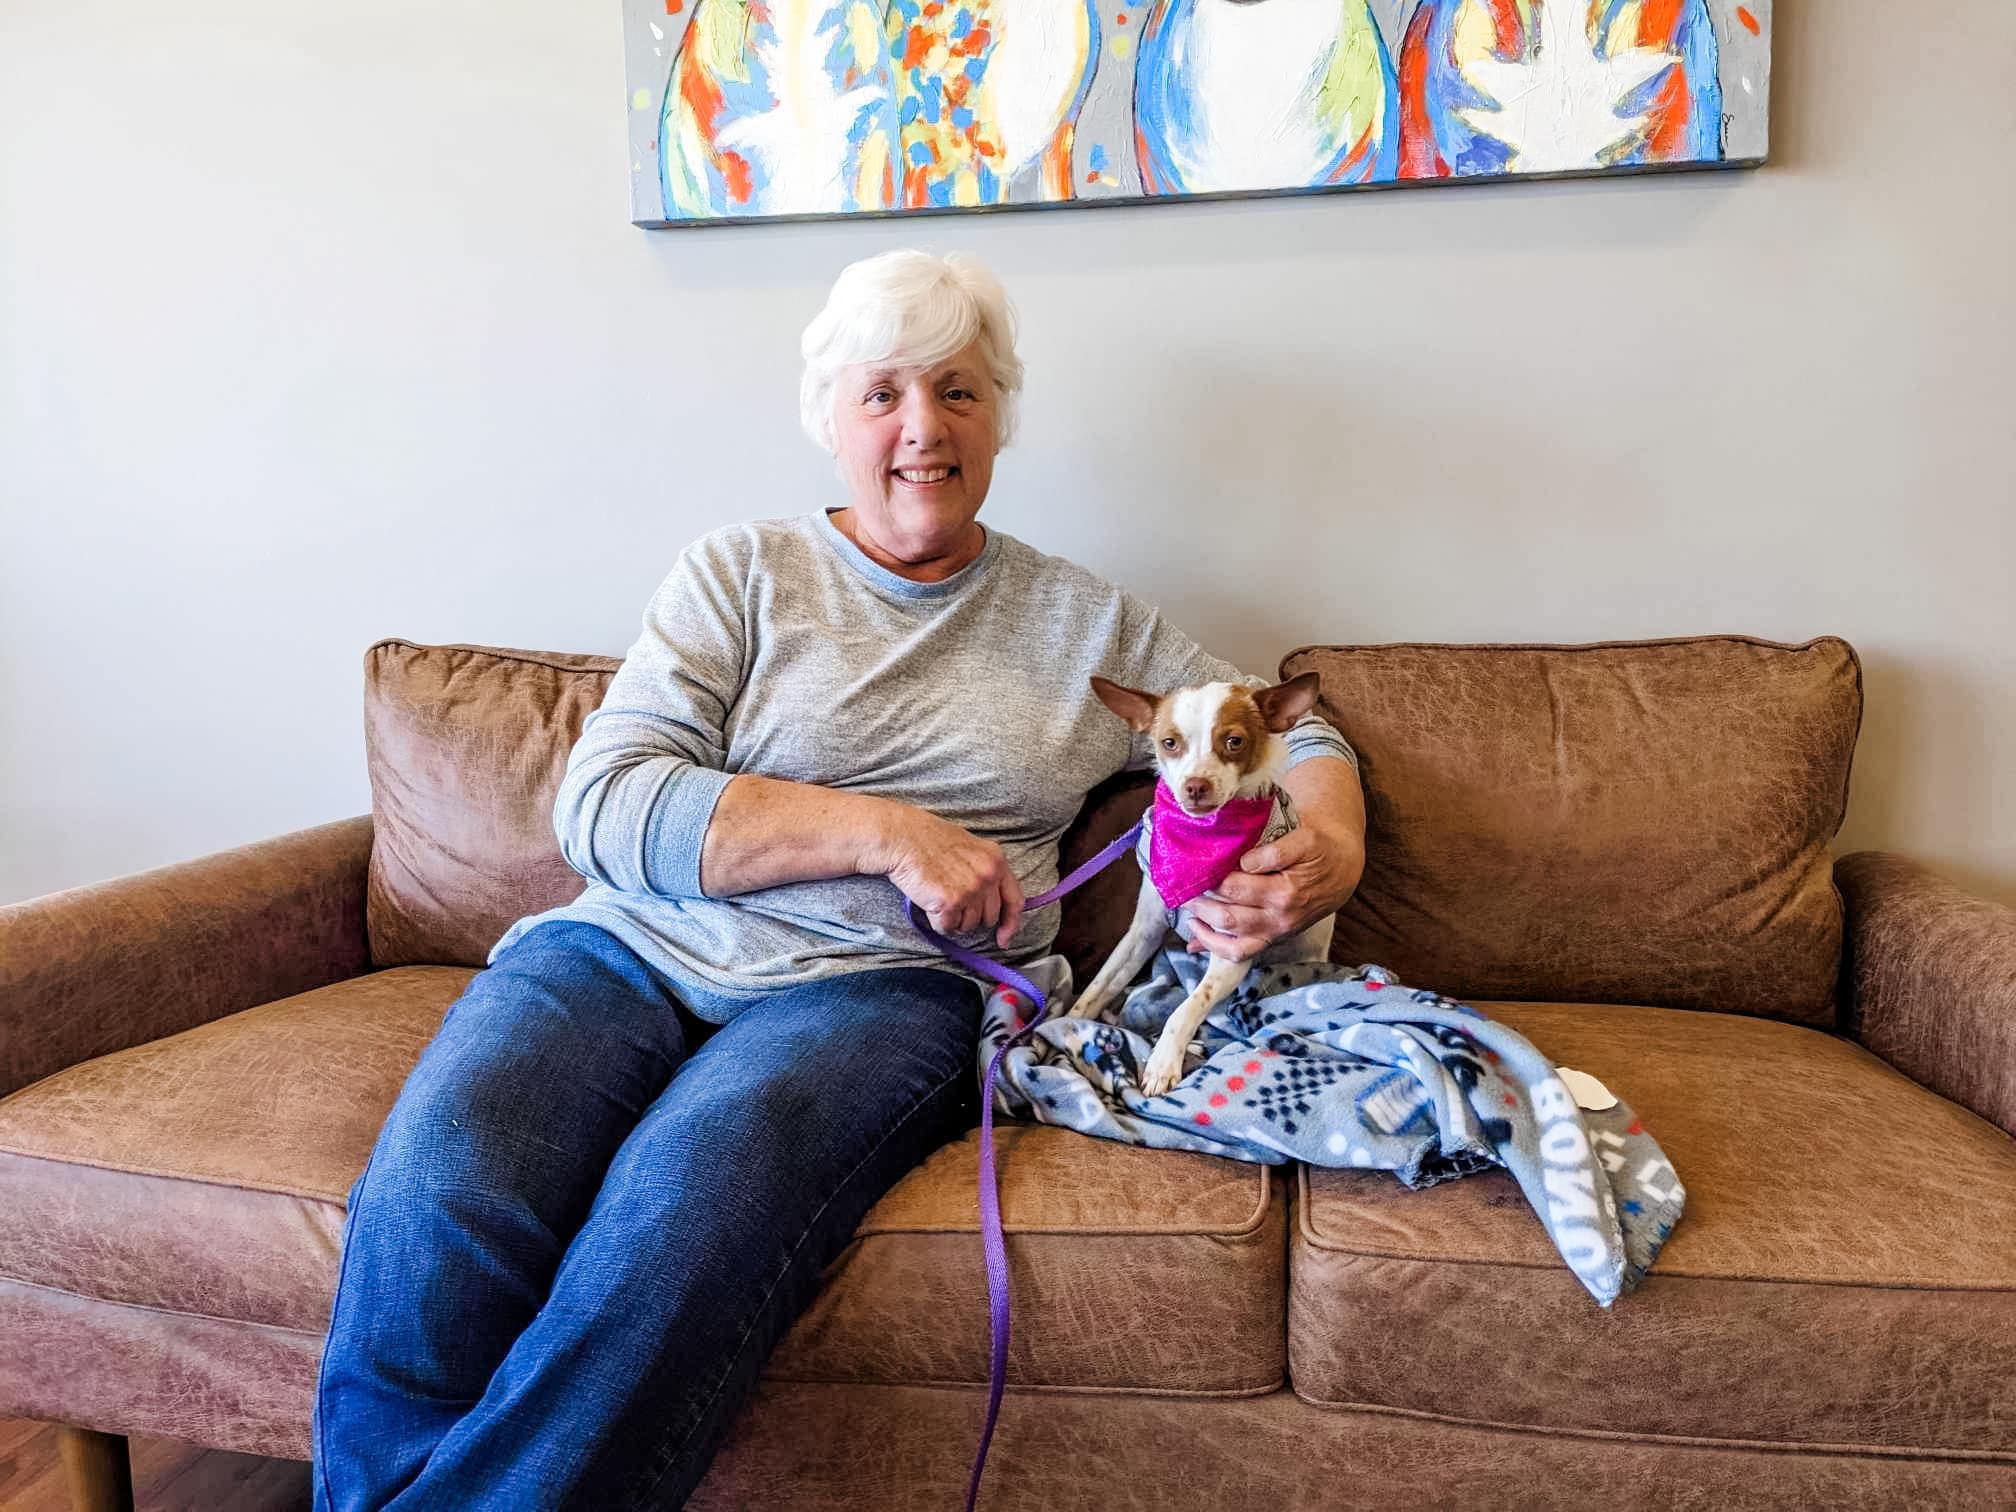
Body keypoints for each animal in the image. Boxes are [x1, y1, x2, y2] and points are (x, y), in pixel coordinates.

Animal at [1072, 673, 1338, 1104]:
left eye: (1234, 741)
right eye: (1169, 743)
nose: (1195, 786)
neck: (1199, 841)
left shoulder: (1232, 951)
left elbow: (1189, 1007)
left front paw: (1163, 1062)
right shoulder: (1143, 933)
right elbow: (1097, 989)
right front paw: (1058, 1030)